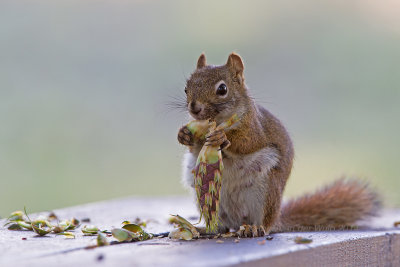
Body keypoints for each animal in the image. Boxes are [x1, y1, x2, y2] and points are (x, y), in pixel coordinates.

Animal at [177, 53, 380, 238]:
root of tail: (238, 221)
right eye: (186, 88)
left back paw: (254, 228)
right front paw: (184, 134)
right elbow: (194, 148)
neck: (219, 121)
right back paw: (205, 229)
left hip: (266, 191)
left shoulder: (255, 127)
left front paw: (222, 137)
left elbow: (247, 142)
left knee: (264, 224)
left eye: (222, 89)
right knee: (221, 227)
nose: (194, 108)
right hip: (209, 197)